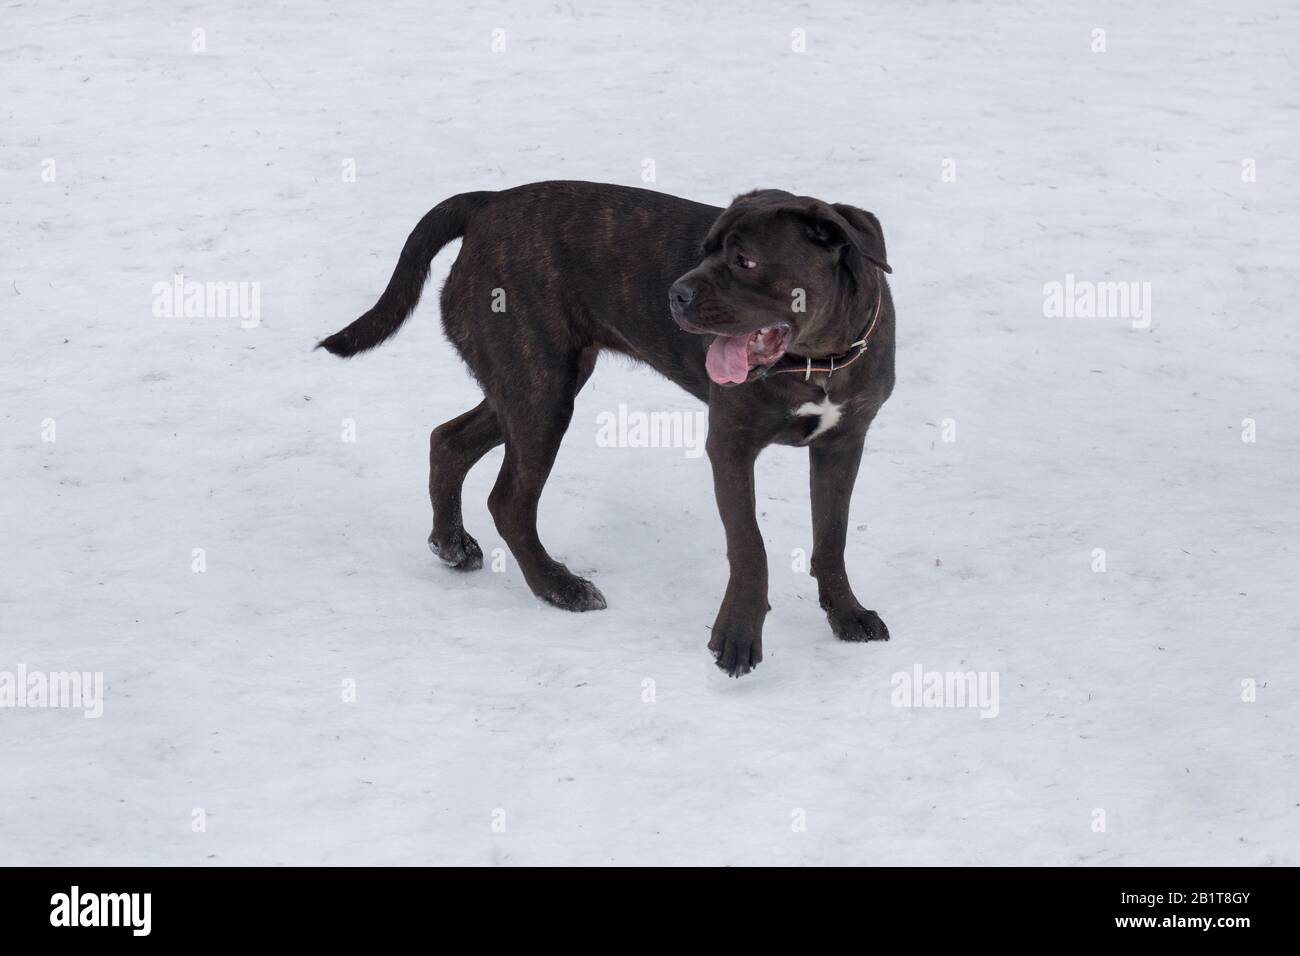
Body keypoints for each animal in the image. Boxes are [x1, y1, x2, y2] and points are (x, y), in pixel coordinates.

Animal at [323, 179, 894, 671]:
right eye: (704, 250)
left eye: (745, 260)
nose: (675, 294)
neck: (818, 361)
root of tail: (487, 202)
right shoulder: (730, 446)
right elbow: (749, 546)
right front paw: (737, 637)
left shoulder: (844, 444)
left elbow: (831, 537)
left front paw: (847, 615)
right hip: (541, 393)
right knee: (508, 501)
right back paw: (558, 587)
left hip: (532, 386)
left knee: (449, 441)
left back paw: (452, 544)